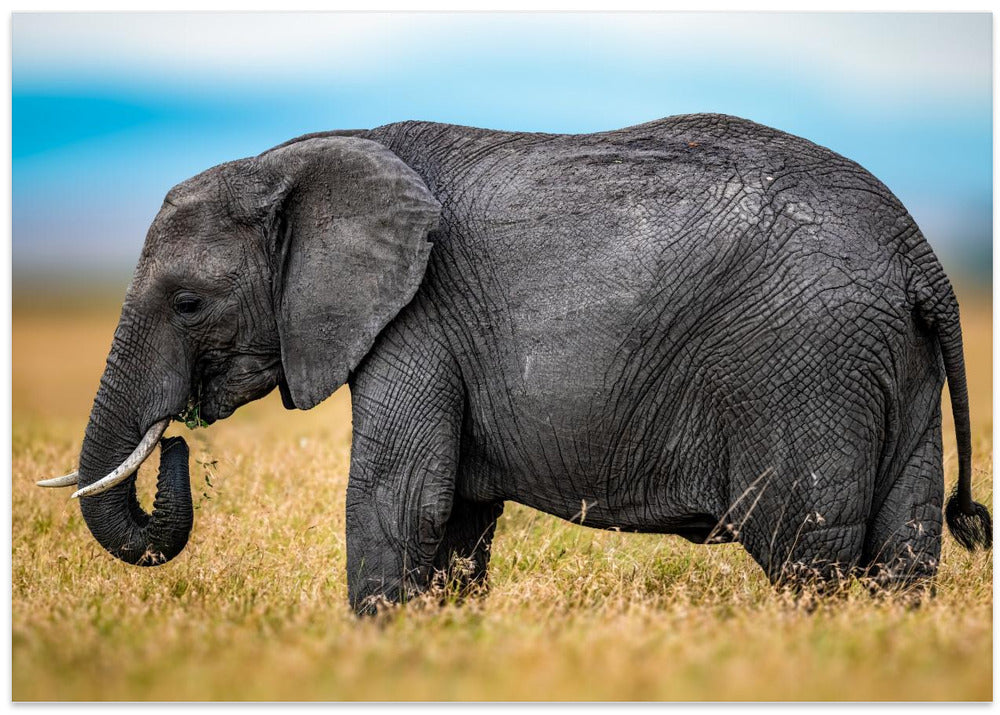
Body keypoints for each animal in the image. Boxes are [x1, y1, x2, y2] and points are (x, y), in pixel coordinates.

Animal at [38, 113, 991, 613]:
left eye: (188, 303)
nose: (175, 438)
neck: (299, 160)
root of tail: (919, 254)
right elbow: (456, 516)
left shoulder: (417, 319)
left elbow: (399, 497)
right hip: (888, 361)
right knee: (903, 542)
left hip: (807, 365)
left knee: (804, 546)